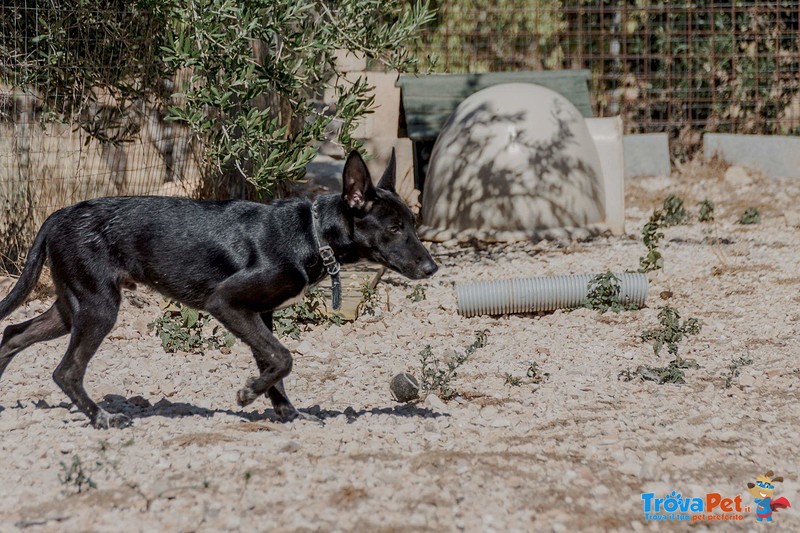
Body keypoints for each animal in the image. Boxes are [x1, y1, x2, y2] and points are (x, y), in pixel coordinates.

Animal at [0, 150, 438, 428]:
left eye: (412, 225)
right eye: (395, 227)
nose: (432, 267)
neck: (311, 233)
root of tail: (57, 215)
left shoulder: (260, 314)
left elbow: (273, 365)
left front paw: (286, 413)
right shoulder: (224, 302)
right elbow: (283, 358)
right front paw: (248, 395)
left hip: (72, 305)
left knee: (13, 332)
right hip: (98, 307)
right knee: (66, 370)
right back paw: (102, 418)